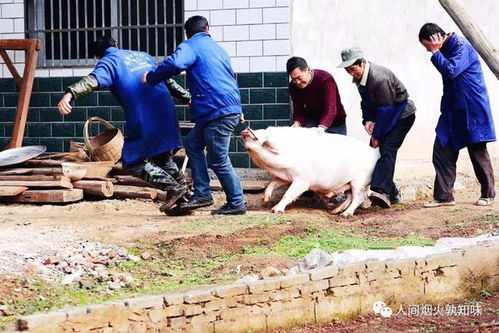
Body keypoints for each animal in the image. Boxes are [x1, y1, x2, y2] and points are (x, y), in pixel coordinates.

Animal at [242, 126, 378, 215]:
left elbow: (288, 194)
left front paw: (275, 210)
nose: (245, 130)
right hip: (347, 183)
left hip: (359, 181)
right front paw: (265, 199)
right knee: (350, 197)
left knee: (359, 197)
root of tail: (375, 155)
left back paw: (345, 214)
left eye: (263, 135)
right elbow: (272, 184)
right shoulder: (285, 177)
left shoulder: (303, 180)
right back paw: (335, 211)